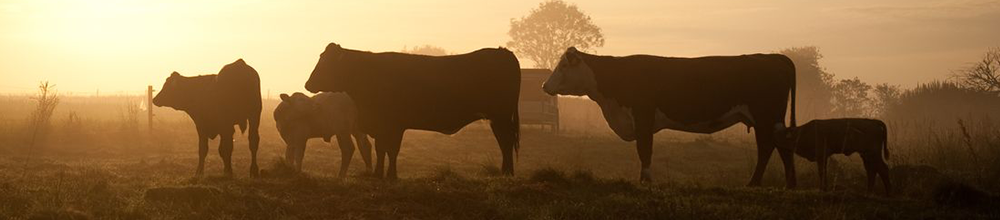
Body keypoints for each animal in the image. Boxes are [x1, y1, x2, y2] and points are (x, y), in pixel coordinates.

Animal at [304, 42, 524, 179]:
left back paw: (507, 173)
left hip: (501, 116)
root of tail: (503, 51)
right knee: (504, 141)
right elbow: (381, 149)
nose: (308, 84)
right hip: (498, 118)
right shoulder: (381, 126)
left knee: (505, 141)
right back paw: (507, 172)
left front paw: (391, 175)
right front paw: (378, 174)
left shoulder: (394, 125)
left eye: (326, 62)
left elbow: (392, 149)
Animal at [544, 46, 792, 186]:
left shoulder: (643, 117)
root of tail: (773, 57)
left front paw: (645, 181)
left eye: (563, 66)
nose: (545, 85)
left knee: (769, 147)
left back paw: (759, 182)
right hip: (769, 121)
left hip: (766, 117)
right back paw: (784, 183)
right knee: (776, 147)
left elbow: (644, 149)